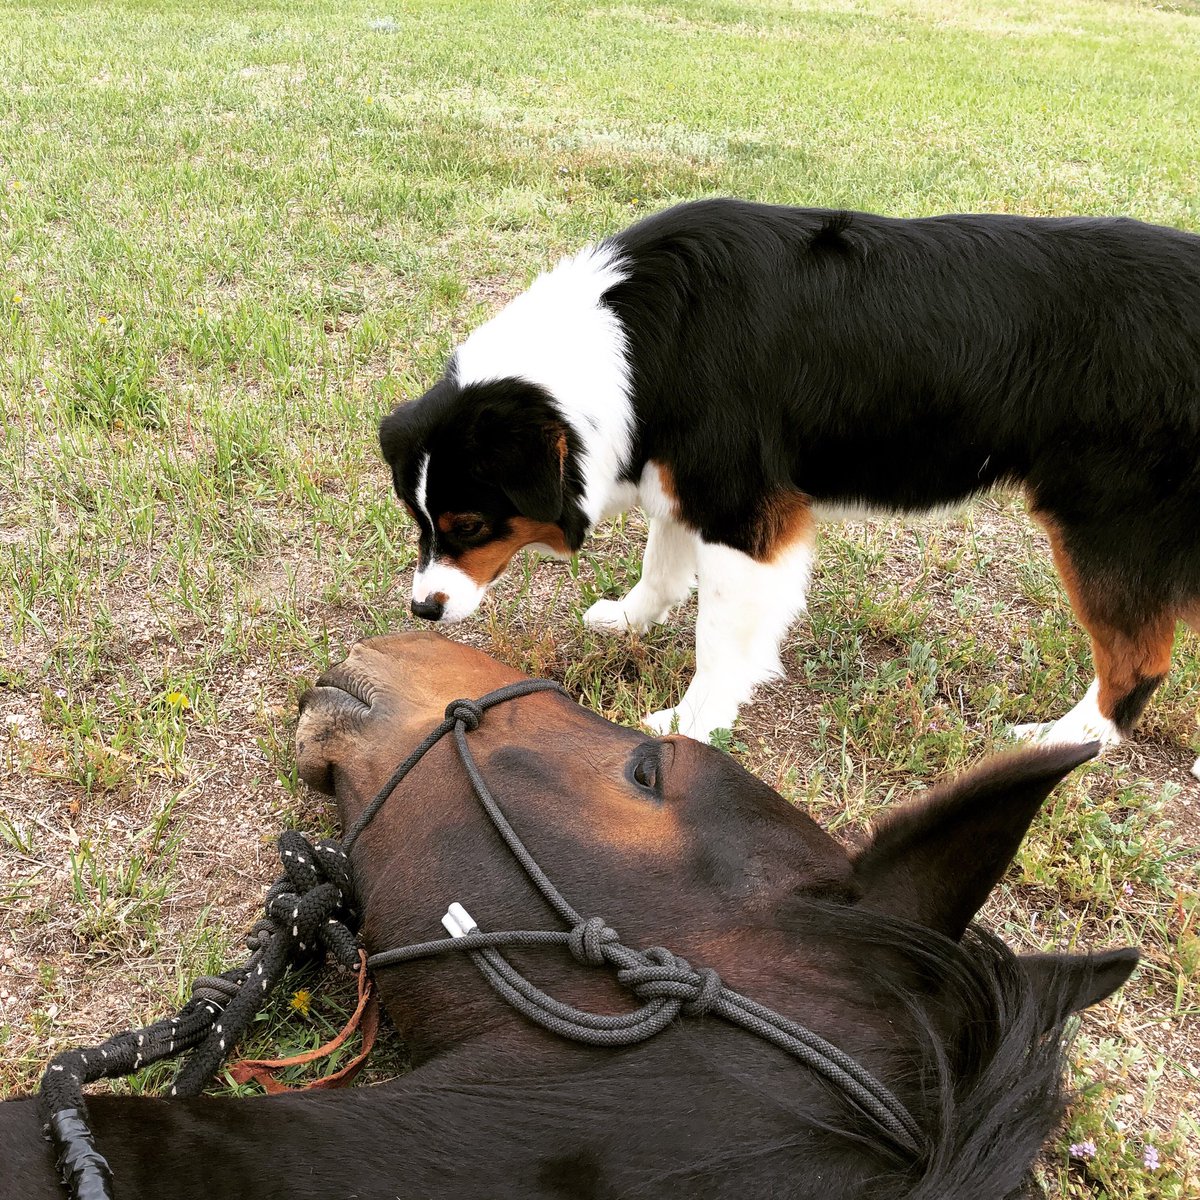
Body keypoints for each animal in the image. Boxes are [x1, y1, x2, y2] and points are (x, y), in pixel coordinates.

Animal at [376, 199, 1200, 758]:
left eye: (470, 525)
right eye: (419, 523)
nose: (423, 610)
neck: (629, 340)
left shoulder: (741, 510)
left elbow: (718, 637)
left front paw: (693, 723)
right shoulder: (684, 477)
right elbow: (661, 563)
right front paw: (633, 618)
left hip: (1101, 520)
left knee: (1137, 659)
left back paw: (1061, 741)